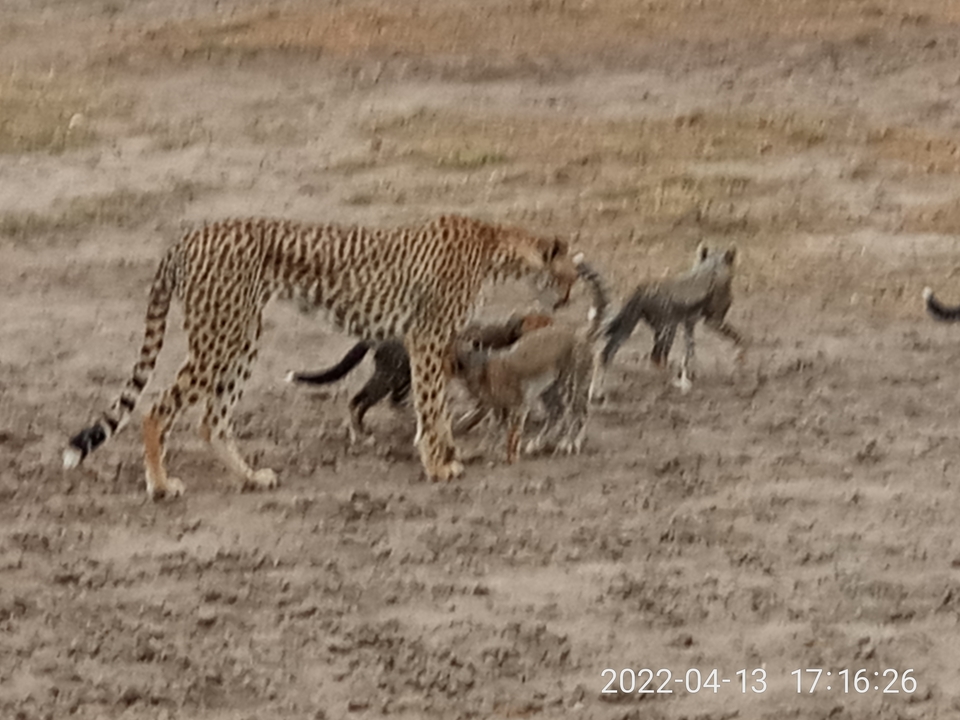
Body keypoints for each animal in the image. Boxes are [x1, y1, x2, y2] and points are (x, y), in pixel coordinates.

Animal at [286, 312, 554, 444]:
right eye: (541, 322)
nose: (556, 324)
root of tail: (376, 338)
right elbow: (488, 409)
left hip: (402, 378)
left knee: (387, 401)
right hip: (390, 376)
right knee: (358, 401)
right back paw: (362, 433)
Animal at [451, 257, 610, 463]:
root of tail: (581, 333)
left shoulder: (518, 405)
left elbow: (509, 431)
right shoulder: (500, 408)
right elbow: (496, 429)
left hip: (572, 384)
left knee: (578, 412)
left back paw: (569, 443)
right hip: (551, 389)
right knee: (557, 412)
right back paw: (538, 443)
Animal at [596, 242, 744, 397]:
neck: (711, 267)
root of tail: (642, 287)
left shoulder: (689, 322)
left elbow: (690, 349)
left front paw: (691, 373)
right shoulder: (713, 321)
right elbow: (740, 339)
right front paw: (740, 361)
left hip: (630, 326)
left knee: (607, 353)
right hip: (668, 329)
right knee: (655, 357)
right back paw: (673, 381)